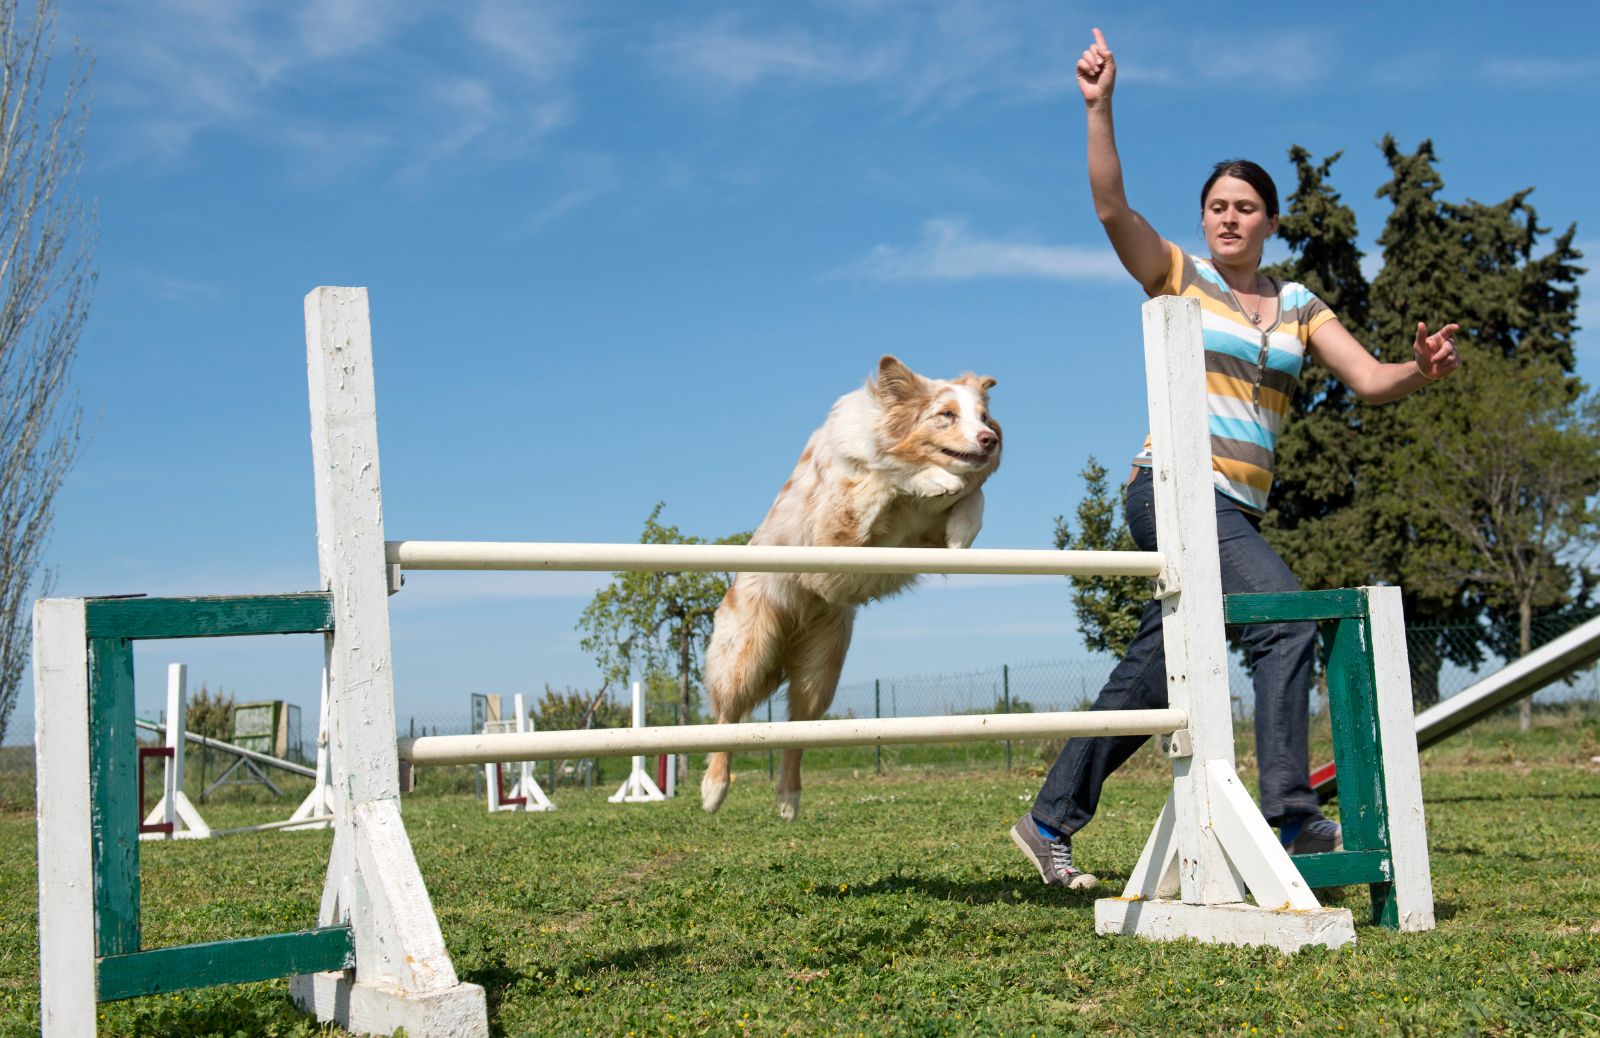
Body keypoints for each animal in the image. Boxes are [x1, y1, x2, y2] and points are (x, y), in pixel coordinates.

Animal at [700, 356, 998, 818]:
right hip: (746, 654)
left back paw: (789, 799)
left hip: (820, 670)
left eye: (983, 417)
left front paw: (962, 532)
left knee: (797, 729)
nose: (990, 440)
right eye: (945, 414)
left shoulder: (916, 540)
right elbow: (886, 474)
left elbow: (974, 499)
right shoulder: (834, 524)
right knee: (726, 719)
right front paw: (931, 478)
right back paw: (714, 790)